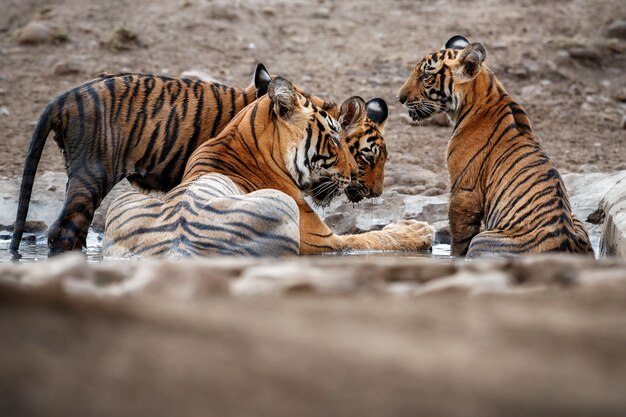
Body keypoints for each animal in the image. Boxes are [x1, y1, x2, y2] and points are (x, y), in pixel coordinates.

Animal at [398, 35, 592, 256]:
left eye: (426, 77)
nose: (400, 98)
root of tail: (568, 243)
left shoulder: (465, 190)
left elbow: (459, 240)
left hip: (483, 239)